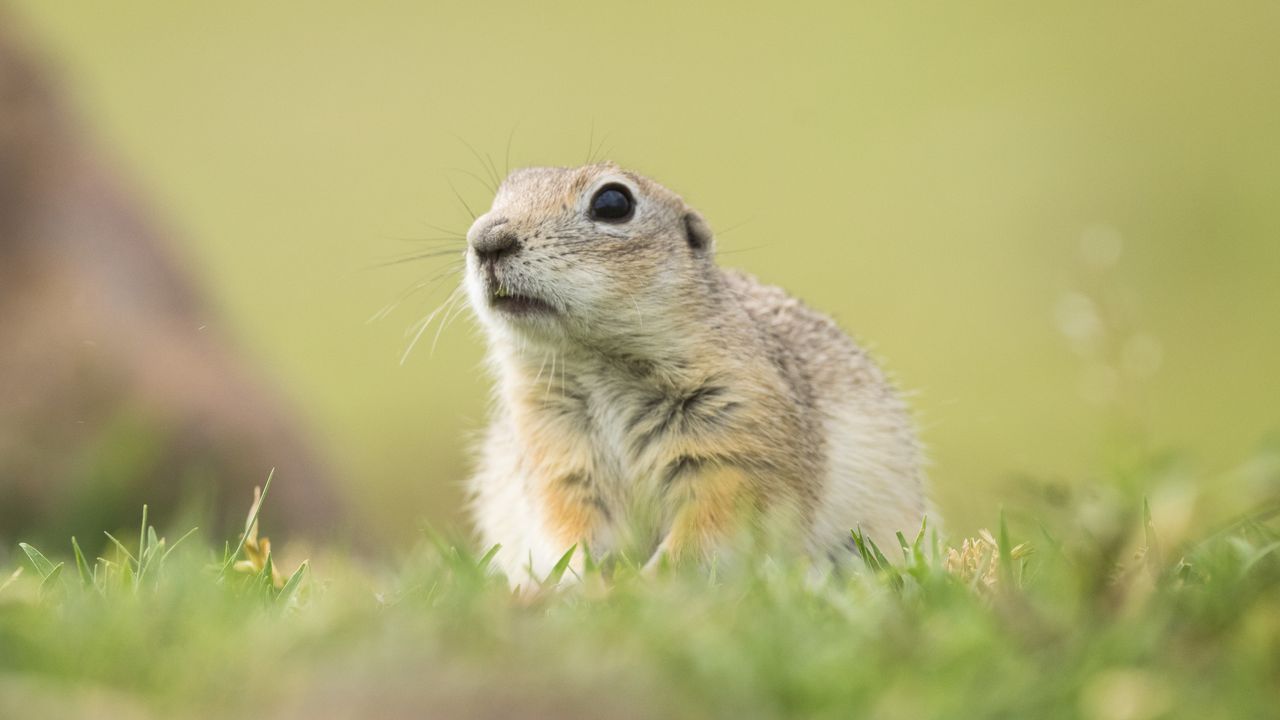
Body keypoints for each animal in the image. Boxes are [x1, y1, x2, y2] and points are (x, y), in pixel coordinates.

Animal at [465, 162, 926, 584]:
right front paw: (579, 583)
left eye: (613, 202)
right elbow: (567, 529)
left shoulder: (740, 442)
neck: (596, 362)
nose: (484, 240)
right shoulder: (554, 455)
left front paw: (648, 583)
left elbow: (709, 528)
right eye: (502, 194)